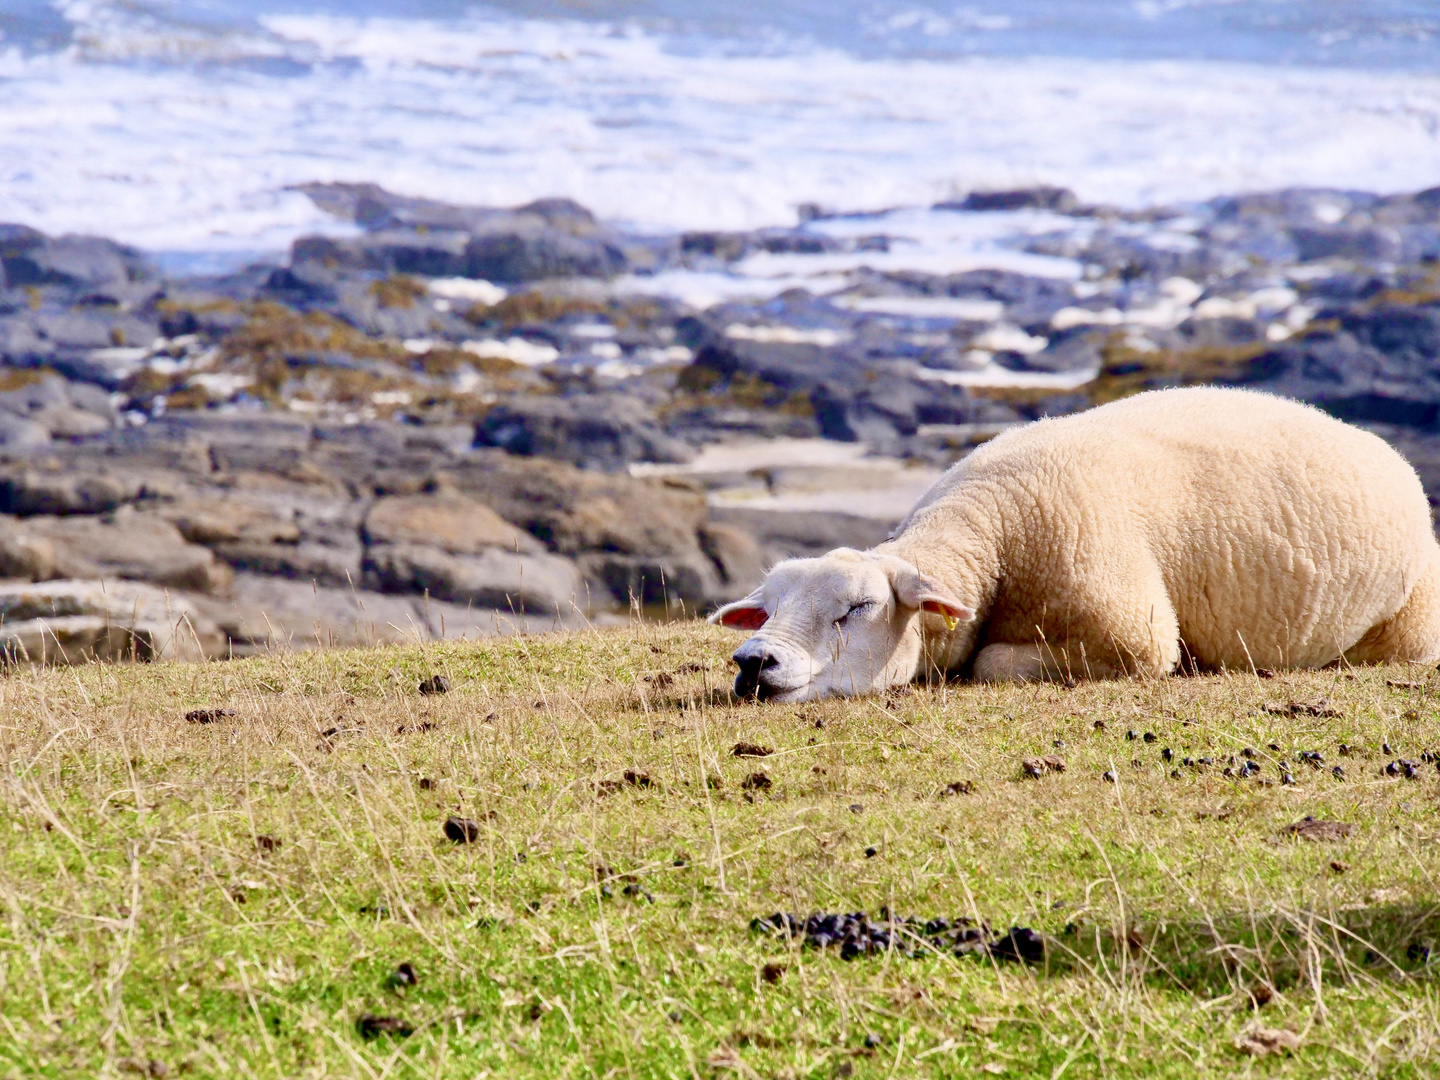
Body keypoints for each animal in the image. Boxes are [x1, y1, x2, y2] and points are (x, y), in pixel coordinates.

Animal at [708, 388, 1440, 702]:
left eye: (858, 608)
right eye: (769, 609)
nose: (754, 660)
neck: (992, 527)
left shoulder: (1137, 636)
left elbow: (989, 664)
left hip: (1409, 625)